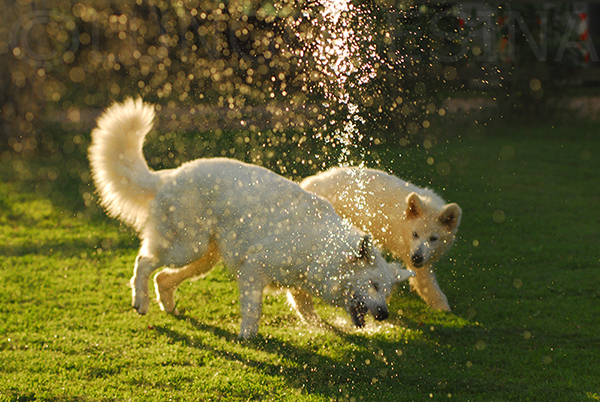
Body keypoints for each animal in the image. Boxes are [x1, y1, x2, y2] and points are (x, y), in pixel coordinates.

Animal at [86, 99, 412, 338]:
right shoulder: (253, 270)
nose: (384, 313)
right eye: (373, 284)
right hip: (186, 247)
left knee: (163, 277)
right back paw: (140, 302)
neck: (321, 247)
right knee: (144, 262)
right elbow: (254, 310)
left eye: (387, 291)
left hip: (205, 257)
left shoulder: (297, 287)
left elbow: (309, 314)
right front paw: (248, 337)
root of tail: (168, 176)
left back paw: (168, 306)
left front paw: (328, 331)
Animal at [302, 166, 462, 310]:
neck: (405, 222)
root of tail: (307, 183)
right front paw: (443, 308)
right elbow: (428, 287)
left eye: (433, 238)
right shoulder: (413, 258)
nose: (416, 258)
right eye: (415, 234)